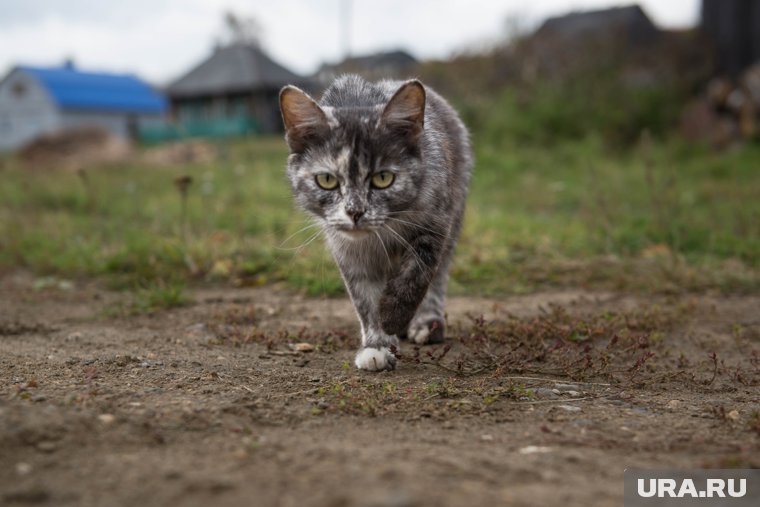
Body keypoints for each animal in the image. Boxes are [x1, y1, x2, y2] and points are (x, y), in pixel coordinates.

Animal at [278, 73, 470, 372]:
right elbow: (364, 297)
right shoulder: (347, 250)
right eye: (327, 180)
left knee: (438, 276)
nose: (355, 212)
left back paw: (427, 323)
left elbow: (418, 272)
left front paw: (393, 315)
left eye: (383, 178)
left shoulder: (436, 220)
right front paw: (377, 345)